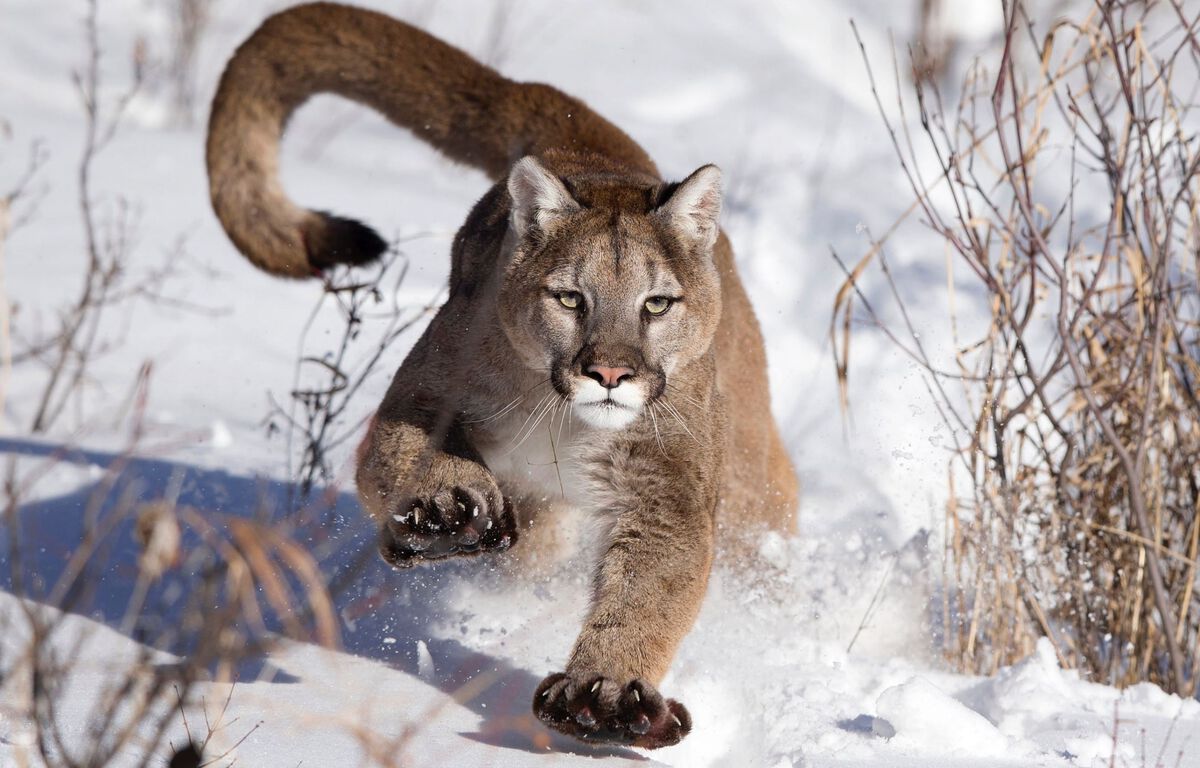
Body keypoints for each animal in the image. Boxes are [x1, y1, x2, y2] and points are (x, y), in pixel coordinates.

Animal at [206, 1, 796, 748]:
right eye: (570, 298)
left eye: (656, 303)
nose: (609, 371)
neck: (565, 422)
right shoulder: (426, 390)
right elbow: (395, 456)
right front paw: (443, 509)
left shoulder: (667, 486)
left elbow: (651, 588)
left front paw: (606, 694)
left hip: (747, 482)